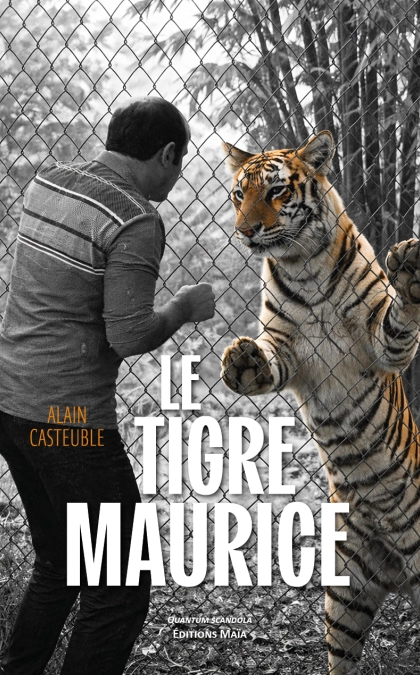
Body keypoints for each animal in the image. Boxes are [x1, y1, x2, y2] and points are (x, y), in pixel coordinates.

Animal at [220, 130, 420, 674]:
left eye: (276, 192)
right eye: (238, 194)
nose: (246, 232)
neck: (303, 267)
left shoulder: (382, 346)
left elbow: (399, 321)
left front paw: (409, 269)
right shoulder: (288, 350)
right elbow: (266, 361)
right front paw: (242, 359)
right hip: (345, 592)